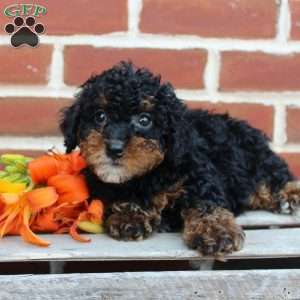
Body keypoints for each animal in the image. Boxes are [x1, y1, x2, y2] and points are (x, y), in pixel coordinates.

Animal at [59, 62, 300, 256]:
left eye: (144, 120)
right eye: (100, 116)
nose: (114, 148)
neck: (150, 173)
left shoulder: (198, 175)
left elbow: (206, 204)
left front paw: (217, 231)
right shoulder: (103, 186)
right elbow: (120, 198)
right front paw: (129, 216)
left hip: (253, 160)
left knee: (272, 177)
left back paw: (290, 195)